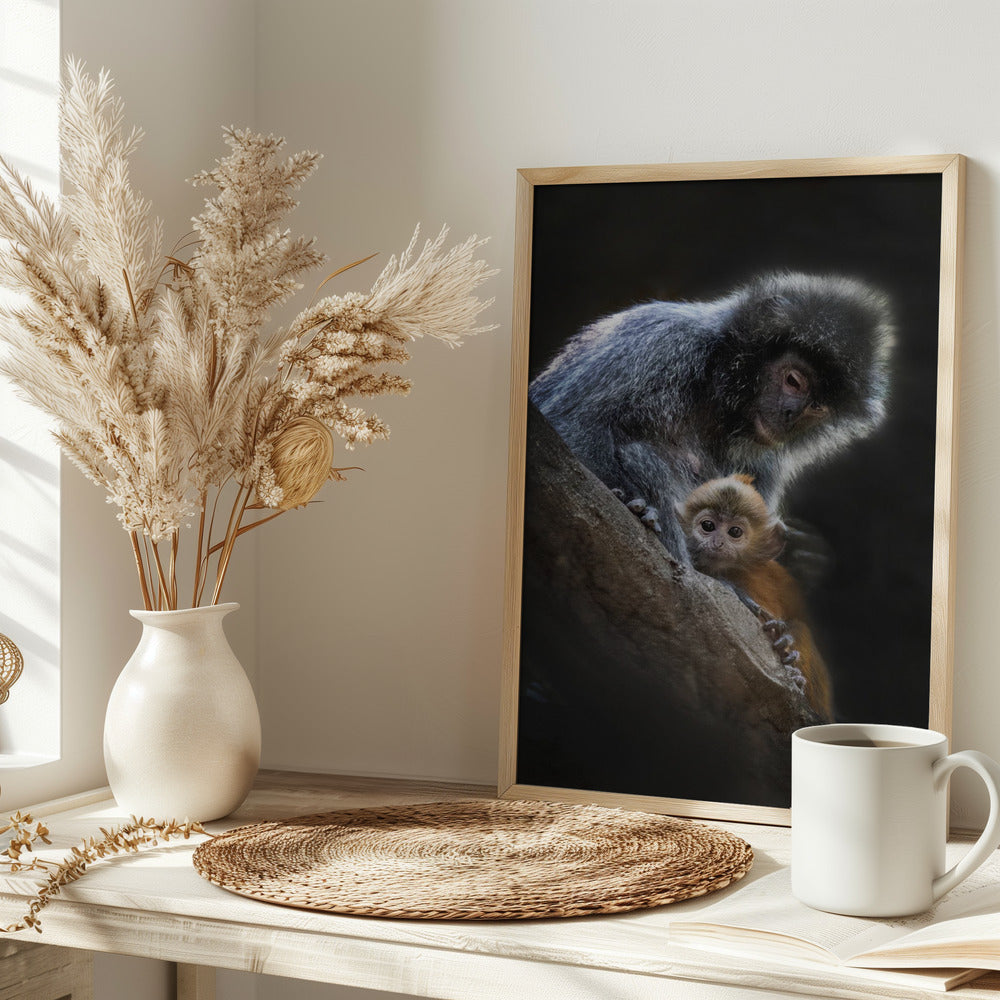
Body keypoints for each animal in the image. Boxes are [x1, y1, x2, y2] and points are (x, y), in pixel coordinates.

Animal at [529, 272, 894, 562]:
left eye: (817, 407)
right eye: (794, 380)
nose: (791, 415)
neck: (715, 394)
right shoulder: (663, 341)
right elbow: (569, 424)